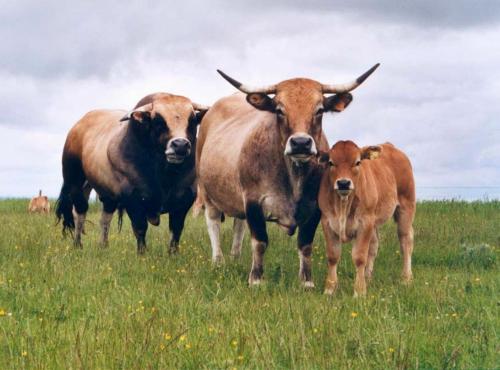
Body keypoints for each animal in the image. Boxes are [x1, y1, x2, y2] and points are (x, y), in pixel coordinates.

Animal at [55, 94, 208, 253]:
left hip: (107, 194)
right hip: (74, 183)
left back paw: (103, 245)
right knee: (80, 212)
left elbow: (176, 229)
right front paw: (142, 253)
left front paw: (173, 253)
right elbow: (140, 228)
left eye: (192, 121)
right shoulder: (132, 197)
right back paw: (77, 244)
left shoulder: (185, 198)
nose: (180, 145)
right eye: (158, 121)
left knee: (105, 219)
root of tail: (77, 127)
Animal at [195, 64, 378, 286]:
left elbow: (305, 245)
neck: (293, 177)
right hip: (207, 193)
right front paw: (256, 279)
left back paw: (235, 257)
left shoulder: (315, 207)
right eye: (279, 110)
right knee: (213, 223)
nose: (300, 143)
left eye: (319, 110)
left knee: (239, 225)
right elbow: (260, 242)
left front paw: (306, 281)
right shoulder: (253, 201)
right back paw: (218, 261)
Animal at [318, 140, 416, 296]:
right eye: (331, 162)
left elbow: (359, 257)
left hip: (406, 207)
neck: (343, 205)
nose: (343, 183)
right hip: (374, 221)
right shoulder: (327, 222)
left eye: (358, 162)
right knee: (374, 246)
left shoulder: (365, 222)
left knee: (406, 241)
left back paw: (406, 278)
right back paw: (368, 277)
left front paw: (359, 291)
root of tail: (390, 145)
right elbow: (333, 256)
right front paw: (330, 289)